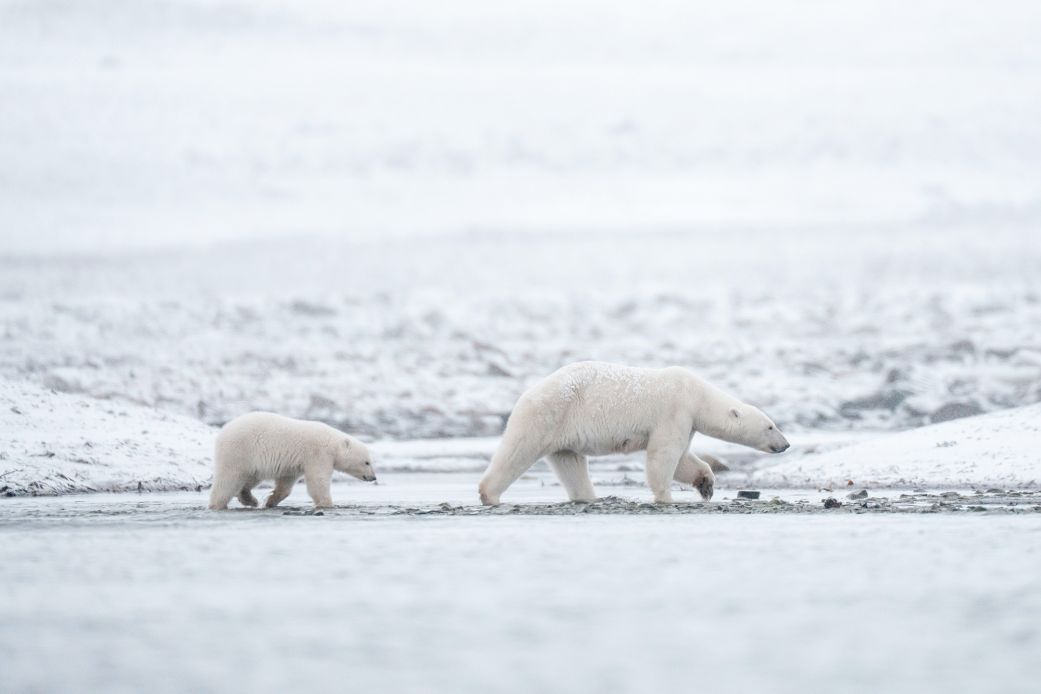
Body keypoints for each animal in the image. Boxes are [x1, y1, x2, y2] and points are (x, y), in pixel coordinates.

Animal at [208, 411, 376, 510]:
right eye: (367, 462)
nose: (373, 477)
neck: (332, 443)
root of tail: (222, 432)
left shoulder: (293, 463)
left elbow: (286, 483)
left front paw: (271, 501)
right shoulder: (318, 454)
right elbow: (318, 480)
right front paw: (327, 504)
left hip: (249, 461)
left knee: (250, 478)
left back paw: (250, 500)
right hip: (239, 451)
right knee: (228, 480)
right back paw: (217, 504)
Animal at [478, 361, 790, 505]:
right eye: (771, 426)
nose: (785, 444)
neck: (696, 394)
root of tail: (526, 395)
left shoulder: (686, 420)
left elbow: (683, 460)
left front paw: (706, 484)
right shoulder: (674, 411)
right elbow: (663, 456)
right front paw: (665, 496)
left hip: (563, 433)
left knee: (570, 464)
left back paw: (588, 497)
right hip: (548, 415)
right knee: (518, 452)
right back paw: (488, 494)